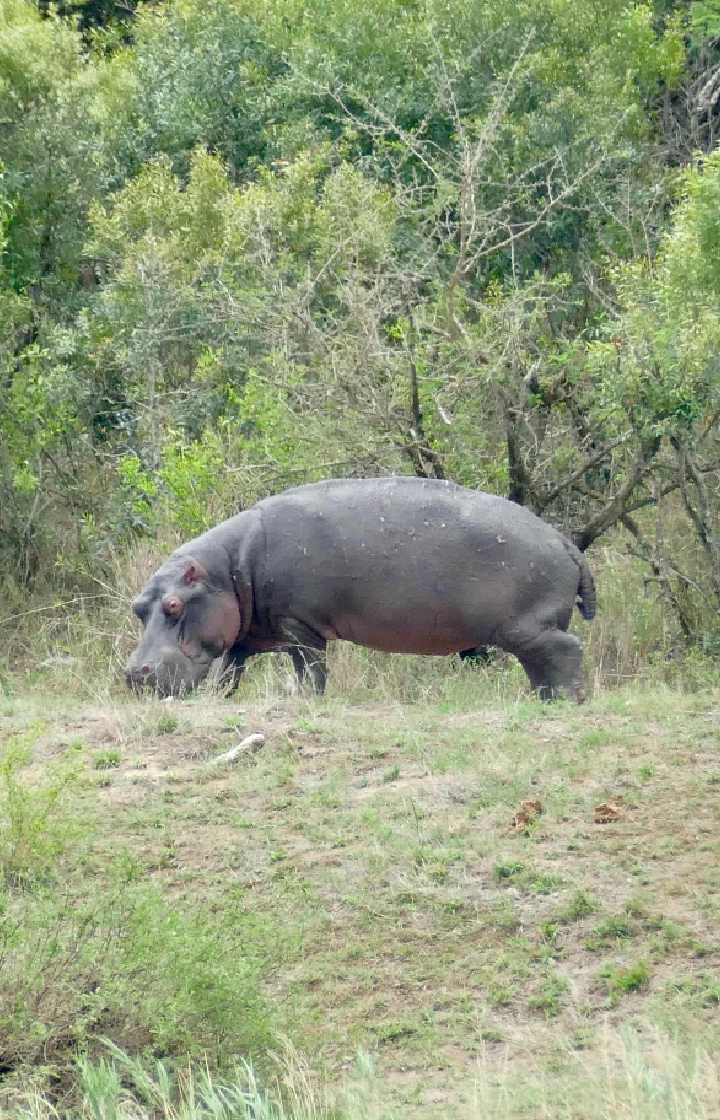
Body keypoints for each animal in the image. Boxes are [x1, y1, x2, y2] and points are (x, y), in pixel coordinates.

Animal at [126, 476, 596, 701]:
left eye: (173, 605)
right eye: (137, 606)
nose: (133, 673)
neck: (227, 570)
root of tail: (565, 542)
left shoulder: (299, 627)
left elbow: (311, 669)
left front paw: (307, 701)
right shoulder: (247, 632)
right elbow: (229, 670)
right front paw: (220, 699)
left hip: (528, 627)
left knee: (567, 650)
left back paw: (566, 701)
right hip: (524, 632)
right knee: (541, 665)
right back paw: (541, 700)